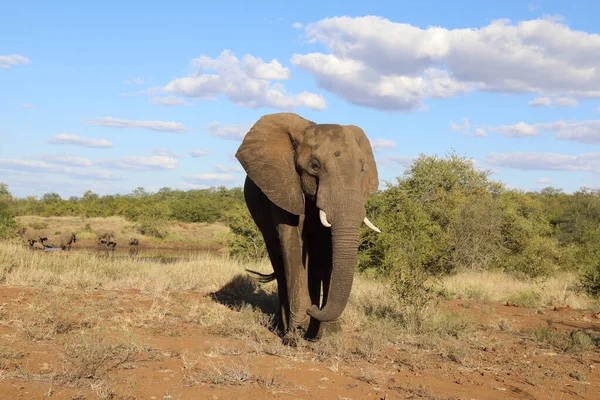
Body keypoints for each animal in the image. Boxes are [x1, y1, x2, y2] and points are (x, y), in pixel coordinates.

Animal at [234, 111, 380, 340]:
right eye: (315, 166)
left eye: (362, 168)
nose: (313, 309)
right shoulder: (284, 186)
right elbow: (292, 242)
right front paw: (296, 333)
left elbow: (329, 252)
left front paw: (328, 333)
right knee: (279, 260)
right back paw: (285, 327)